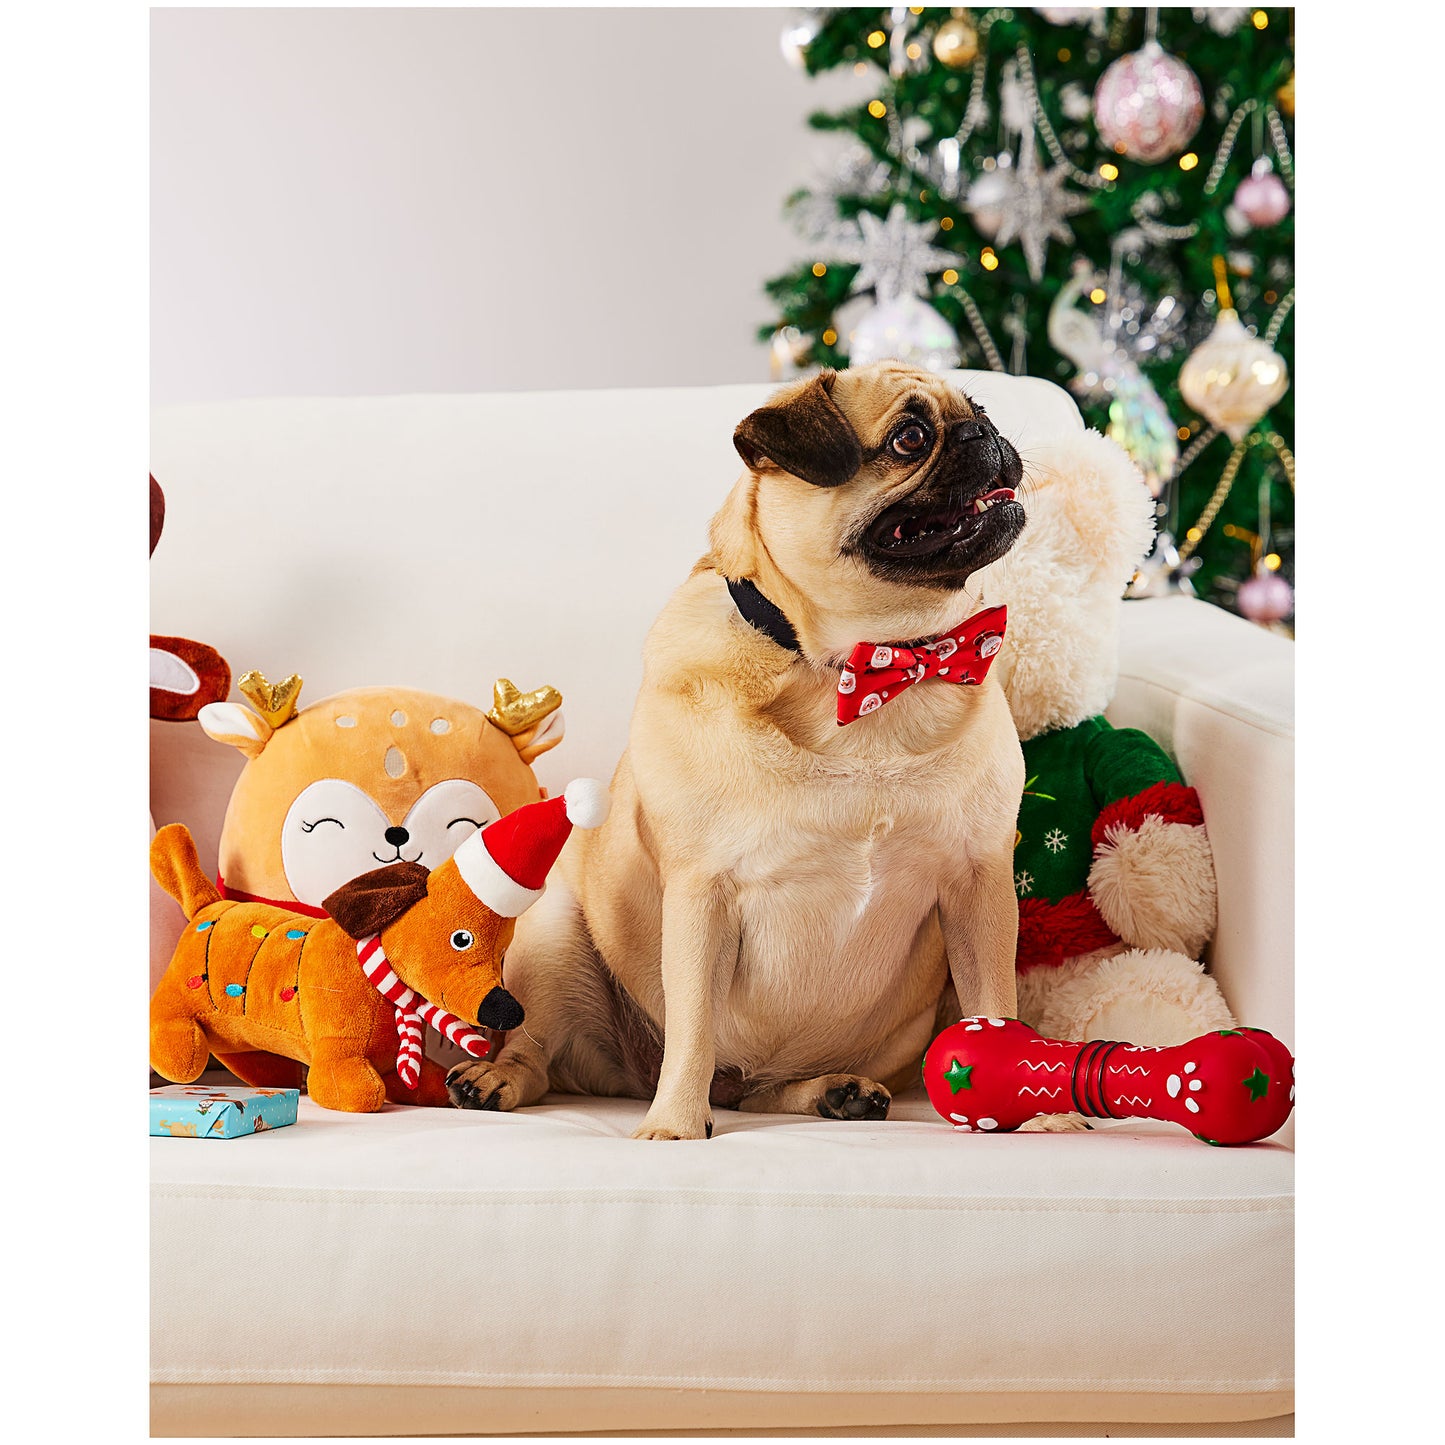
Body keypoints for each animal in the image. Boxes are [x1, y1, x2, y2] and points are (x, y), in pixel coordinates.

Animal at [445, 361, 1023, 1138]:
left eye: (980, 410)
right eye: (910, 437)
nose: (983, 434)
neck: (853, 667)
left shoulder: (979, 884)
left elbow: (999, 1008)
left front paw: (1041, 1118)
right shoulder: (702, 893)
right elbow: (692, 1025)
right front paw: (673, 1126)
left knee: (756, 1092)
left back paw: (830, 1092)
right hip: (554, 935)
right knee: (540, 1053)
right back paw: (498, 1079)